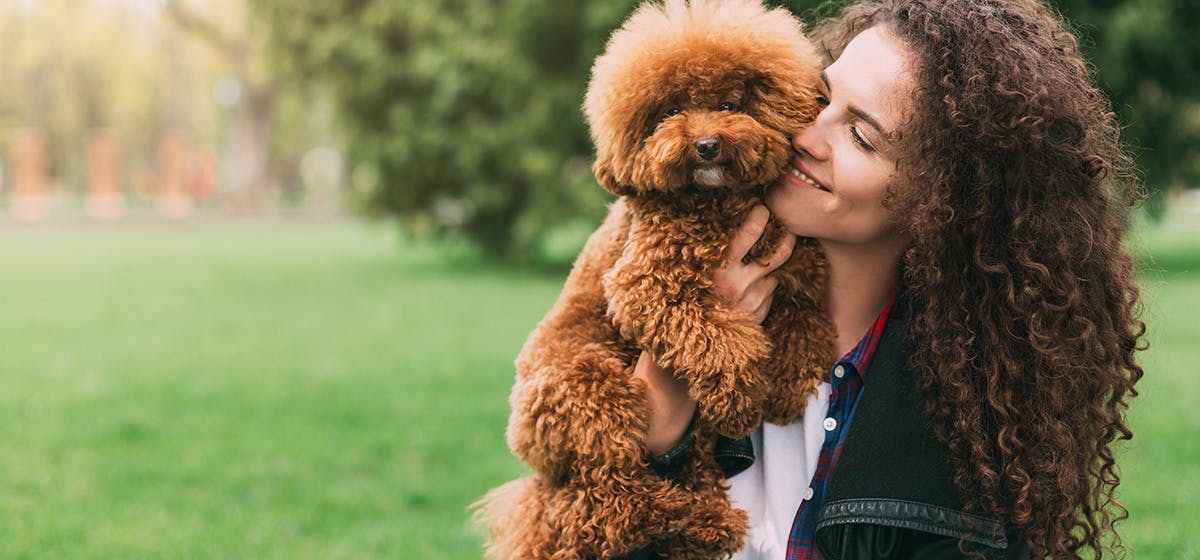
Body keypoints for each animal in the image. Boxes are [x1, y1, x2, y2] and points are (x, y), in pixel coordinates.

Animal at [472, 2, 830, 558]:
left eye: (729, 103)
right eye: (668, 112)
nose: (706, 146)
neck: (716, 202)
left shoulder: (794, 263)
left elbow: (805, 317)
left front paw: (788, 386)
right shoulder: (648, 283)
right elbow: (718, 338)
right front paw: (741, 398)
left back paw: (703, 521)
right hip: (594, 395)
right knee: (606, 506)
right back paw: (685, 519)